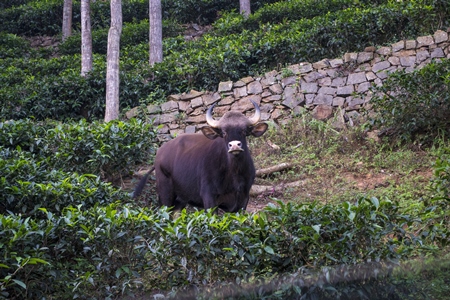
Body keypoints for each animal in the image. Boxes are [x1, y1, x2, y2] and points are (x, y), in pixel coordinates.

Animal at [134, 100, 268, 211]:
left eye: (244, 131)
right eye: (224, 132)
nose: (234, 145)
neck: (234, 174)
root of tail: (159, 154)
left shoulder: (243, 200)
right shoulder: (209, 198)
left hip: (180, 200)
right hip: (165, 194)